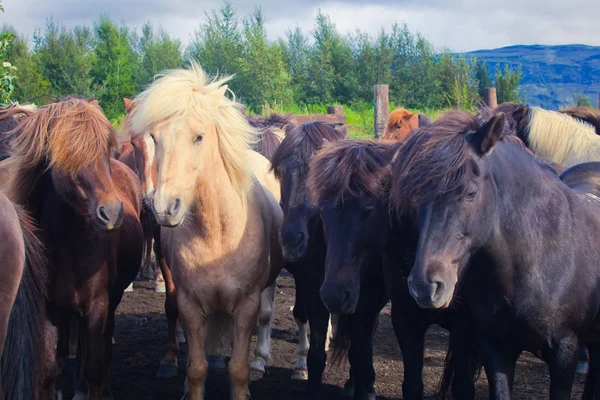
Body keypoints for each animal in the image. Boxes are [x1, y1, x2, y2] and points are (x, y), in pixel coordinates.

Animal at [0, 99, 144, 400]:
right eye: (67, 156)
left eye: (105, 152)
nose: (112, 212)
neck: (69, 246)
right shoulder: (48, 311)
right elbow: (47, 372)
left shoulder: (97, 306)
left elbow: (94, 367)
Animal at [130, 61, 284, 398]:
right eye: (155, 137)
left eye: (199, 137)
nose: (164, 207)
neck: (218, 233)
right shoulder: (189, 304)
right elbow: (196, 367)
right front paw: (190, 381)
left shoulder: (247, 305)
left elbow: (238, 369)